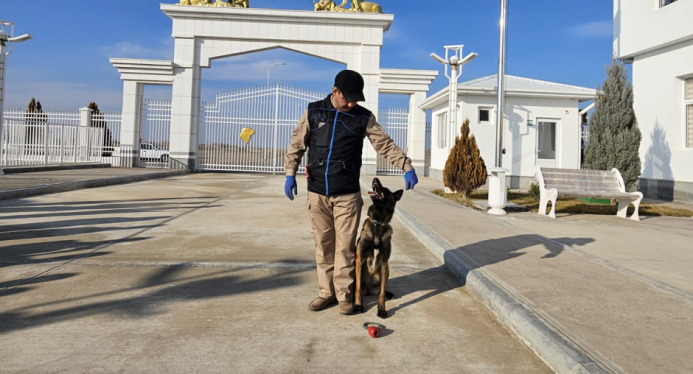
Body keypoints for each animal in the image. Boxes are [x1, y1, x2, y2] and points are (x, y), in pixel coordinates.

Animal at [354, 177, 402, 318]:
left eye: (385, 189)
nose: (375, 178)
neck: (378, 222)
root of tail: (369, 290)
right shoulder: (359, 260)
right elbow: (357, 288)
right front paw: (358, 305)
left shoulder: (385, 263)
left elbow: (381, 293)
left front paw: (382, 309)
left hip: (385, 272)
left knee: (382, 289)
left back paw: (389, 294)